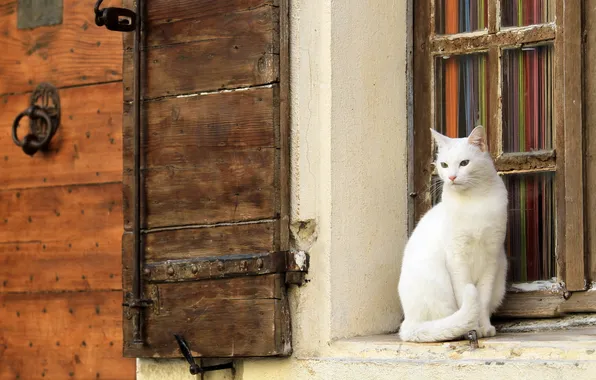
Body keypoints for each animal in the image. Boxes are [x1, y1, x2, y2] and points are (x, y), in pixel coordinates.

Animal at [398, 126, 510, 342]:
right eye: (444, 164)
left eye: (464, 163)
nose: (451, 177)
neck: (474, 200)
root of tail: (409, 322)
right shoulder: (457, 259)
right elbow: (465, 295)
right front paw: (473, 329)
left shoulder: (491, 259)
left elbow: (482, 301)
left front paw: (484, 327)